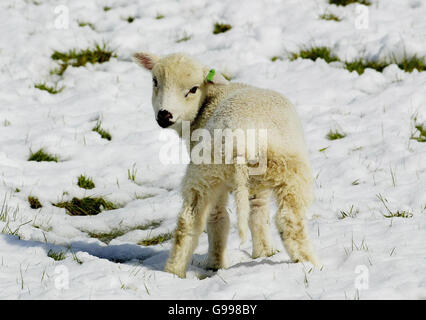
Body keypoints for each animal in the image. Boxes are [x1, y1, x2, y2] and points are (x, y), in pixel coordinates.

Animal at [135, 52, 318, 278]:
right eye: (155, 81)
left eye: (193, 89)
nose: (164, 115)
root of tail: (240, 138)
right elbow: (254, 212)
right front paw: (263, 253)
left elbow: (254, 213)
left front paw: (263, 252)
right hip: (281, 171)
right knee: (285, 220)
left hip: (210, 172)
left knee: (193, 221)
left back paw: (175, 272)